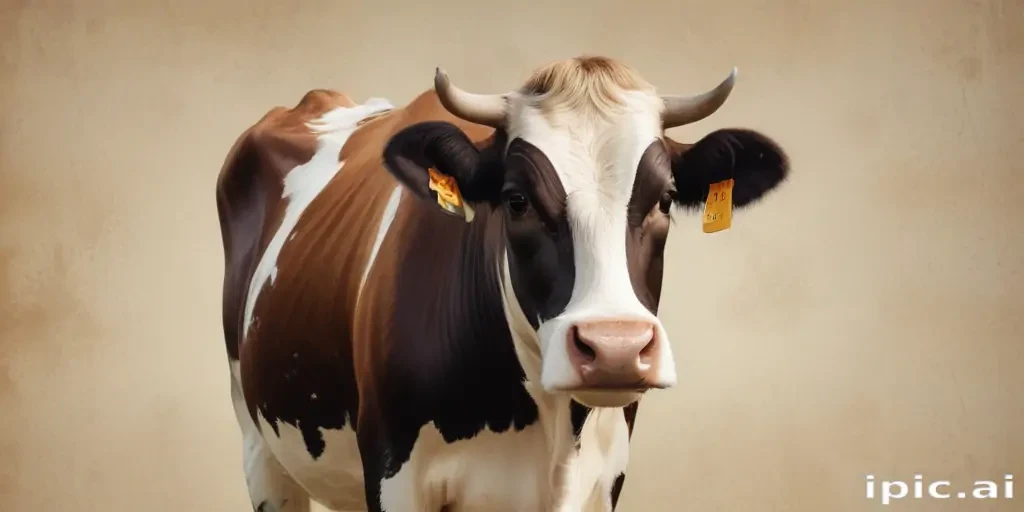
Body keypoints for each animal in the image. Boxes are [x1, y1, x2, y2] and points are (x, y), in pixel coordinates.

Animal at [215, 56, 789, 512]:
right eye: (517, 200)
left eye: (666, 199)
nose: (615, 348)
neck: (548, 433)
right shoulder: (395, 475)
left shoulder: (602, 483)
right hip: (259, 445)